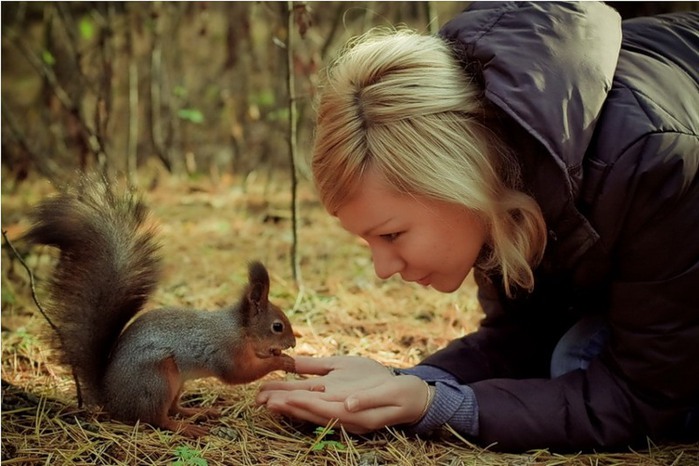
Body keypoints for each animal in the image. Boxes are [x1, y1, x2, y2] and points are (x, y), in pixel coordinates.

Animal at [23, 175, 296, 436]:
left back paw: (198, 412)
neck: (241, 328)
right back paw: (186, 428)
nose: (293, 344)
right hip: (157, 378)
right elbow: (240, 373)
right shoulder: (227, 351)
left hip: (176, 382)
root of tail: (112, 399)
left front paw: (280, 356)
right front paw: (282, 362)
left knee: (173, 408)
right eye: (278, 326)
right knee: (157, 418)